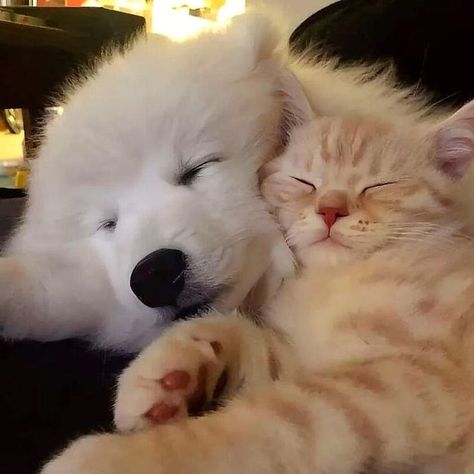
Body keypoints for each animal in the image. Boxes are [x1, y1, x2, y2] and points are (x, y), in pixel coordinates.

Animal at [42, 98, 474, 472]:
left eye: (380, 186)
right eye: (304, 182)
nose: (330, 210)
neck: (331, 281)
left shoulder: (416, 378)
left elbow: (278, 421)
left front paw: (115, 459)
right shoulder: (305, 354)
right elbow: (249, 338)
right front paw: (169, 372)